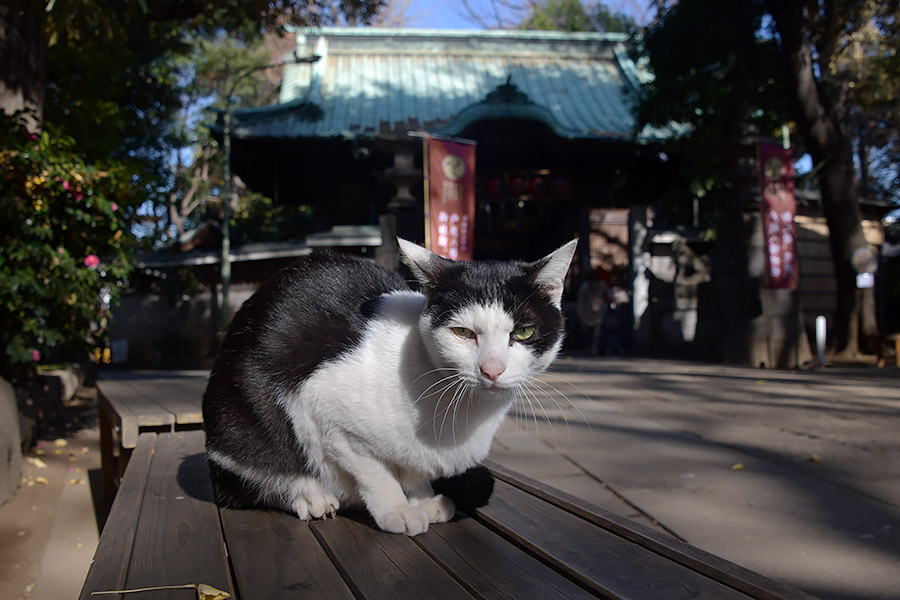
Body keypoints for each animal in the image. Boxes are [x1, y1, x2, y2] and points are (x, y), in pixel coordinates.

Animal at [202, 238, 576, 536]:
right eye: (463, 333)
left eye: (523, 332)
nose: (492, 369)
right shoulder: (327, 412)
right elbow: (376, 473)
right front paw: (397, 509)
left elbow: (411, 465)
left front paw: (423, 498)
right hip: (242, 419)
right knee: (260, 471)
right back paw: (310, 495)